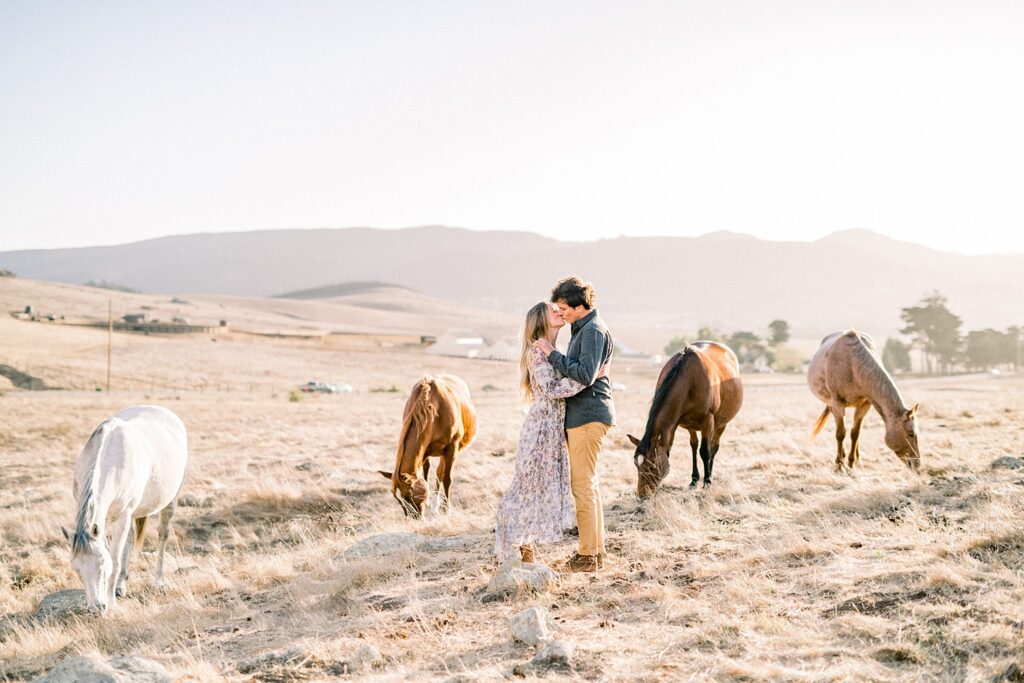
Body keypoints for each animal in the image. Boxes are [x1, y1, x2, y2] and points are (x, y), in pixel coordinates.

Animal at [62, 405, 188, 614]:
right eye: (76, 569)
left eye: (102, 563)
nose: (97, 608)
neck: (110, 460)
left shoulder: (123, 515)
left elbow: (115, 558)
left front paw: (112, 602)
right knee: (129, 538)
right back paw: (121, 584)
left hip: (170, 501)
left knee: (163, 535)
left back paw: (158, 580)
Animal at [378, 374, 477, 518]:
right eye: (399, 499)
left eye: (408, 495)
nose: (413, 517)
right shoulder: (424, 451)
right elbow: (425, 475)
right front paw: (430, 503)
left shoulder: (451, 448)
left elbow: (447, 479)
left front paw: (447, 509)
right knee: (437, 472)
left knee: (440, 473)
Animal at [622, 342, 745, 497]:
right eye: (636, 465)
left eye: (652, 466)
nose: (642, 495)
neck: (688, 380)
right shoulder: (677, 423)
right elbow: (686, 447)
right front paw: (695, 481)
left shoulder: (708, 421)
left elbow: (705, 452)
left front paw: (707, 483)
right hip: (691, 426)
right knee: (694, 446)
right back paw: (694, 479)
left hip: (720, 424)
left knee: (713, 447)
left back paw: (709, 476)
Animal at [806, 329, 921, 471]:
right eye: (911, 433)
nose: (917, 464)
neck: (853, 365)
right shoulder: (837, 403)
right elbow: (840, 434)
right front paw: (839, 466)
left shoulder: (865, 404)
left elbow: (855, 433)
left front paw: (851, 463)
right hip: (831, 404)